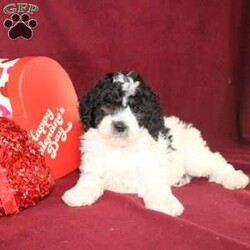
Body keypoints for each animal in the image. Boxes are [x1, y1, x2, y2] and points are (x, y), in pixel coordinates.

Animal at [61, 71, 249, 216]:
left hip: (194, 158)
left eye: (137, 110)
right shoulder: (94, 167)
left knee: (216, 162)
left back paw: (235, 178)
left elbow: (157, 186)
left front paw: (167, 203)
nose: (120, 126)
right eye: (107, 105)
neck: (122, 148)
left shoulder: (151, 168)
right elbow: (88, 181)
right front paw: (78, 194)